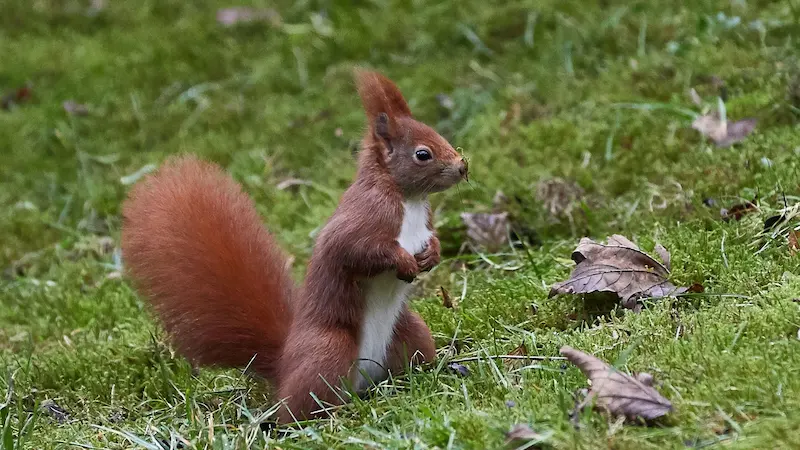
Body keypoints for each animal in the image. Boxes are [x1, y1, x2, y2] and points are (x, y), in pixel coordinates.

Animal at [120, 69, 468, 424]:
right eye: (422, 154)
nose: (462, 166)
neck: (408, 200)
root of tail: (285, 365)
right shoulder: (363, 218)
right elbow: (357, 250)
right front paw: (404, 261)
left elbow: (430, 237)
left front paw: (432, 253)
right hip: (329, 351)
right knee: (302, 405)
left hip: (411, 332)